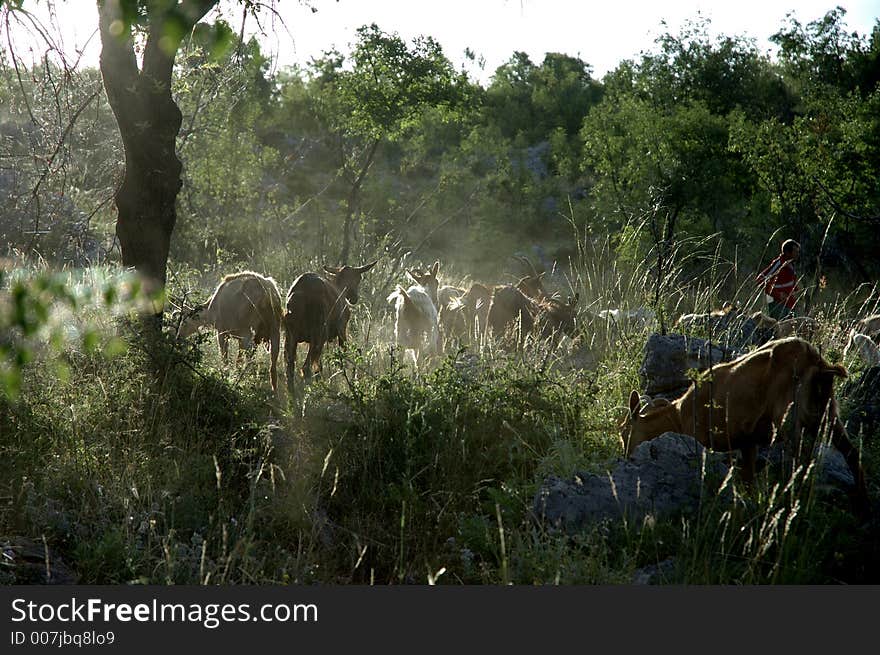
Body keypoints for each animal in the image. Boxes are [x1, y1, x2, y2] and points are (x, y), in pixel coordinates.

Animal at [284, 262, 376, 394]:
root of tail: (300, 295)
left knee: (290, 367)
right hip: (318, 334)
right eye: (359, 278)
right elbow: (344, 355)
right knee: (306, 368)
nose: (354, 298)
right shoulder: (342, 329)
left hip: (291, 335)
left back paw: (292, 394)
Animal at [620, 338, 868, 512]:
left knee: (798, 462)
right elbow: (749, 480)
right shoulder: (748, 441)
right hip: (829, 413)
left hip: (789, 415)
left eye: (624, 432)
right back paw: (861, 505)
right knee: (852, 453)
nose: (627, 457)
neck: (680, 414)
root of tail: (817, 362)